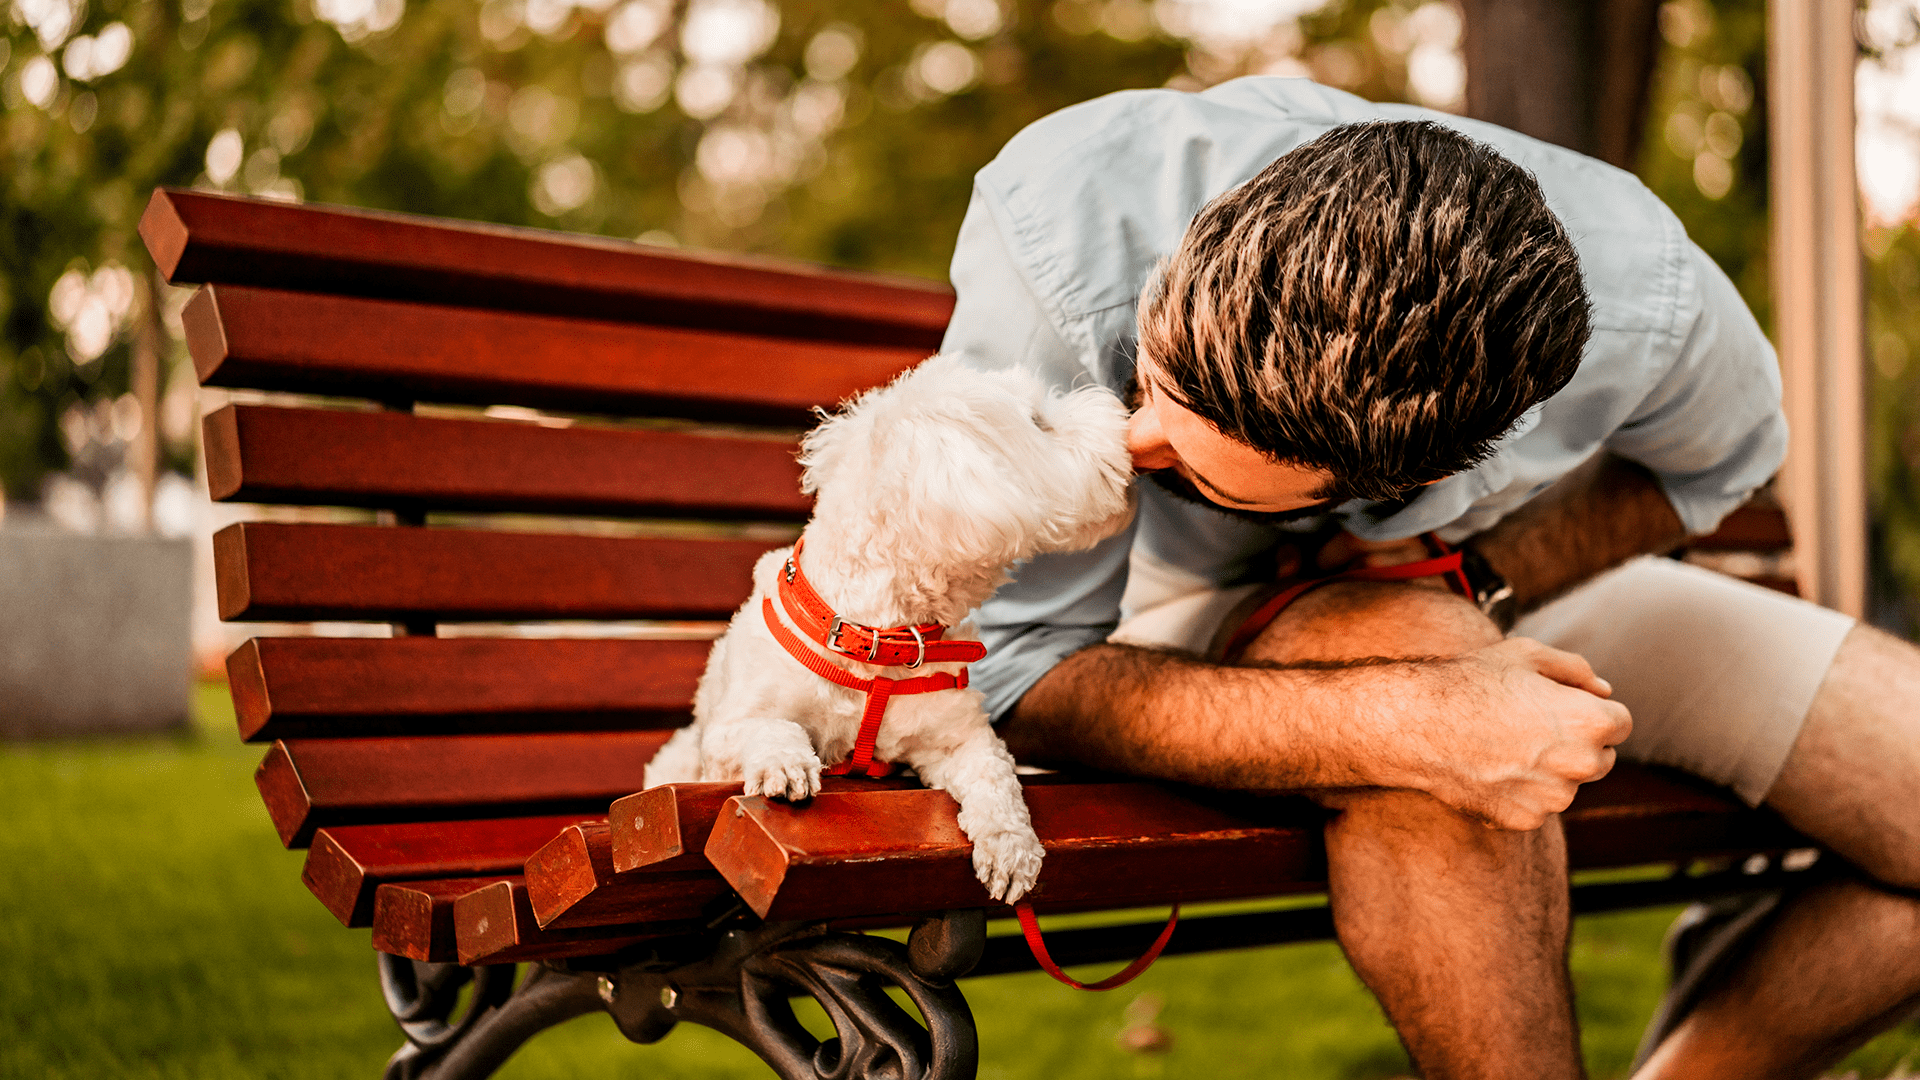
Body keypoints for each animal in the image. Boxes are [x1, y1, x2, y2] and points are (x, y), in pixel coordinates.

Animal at [645, 355, 1128, 899]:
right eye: (1038, 423)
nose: (1122, 416)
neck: (875, 640)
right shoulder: (727, 736)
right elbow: (770, 728)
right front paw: (786, 765)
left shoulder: (956, 740)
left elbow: (994, 777)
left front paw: (1011, 848)